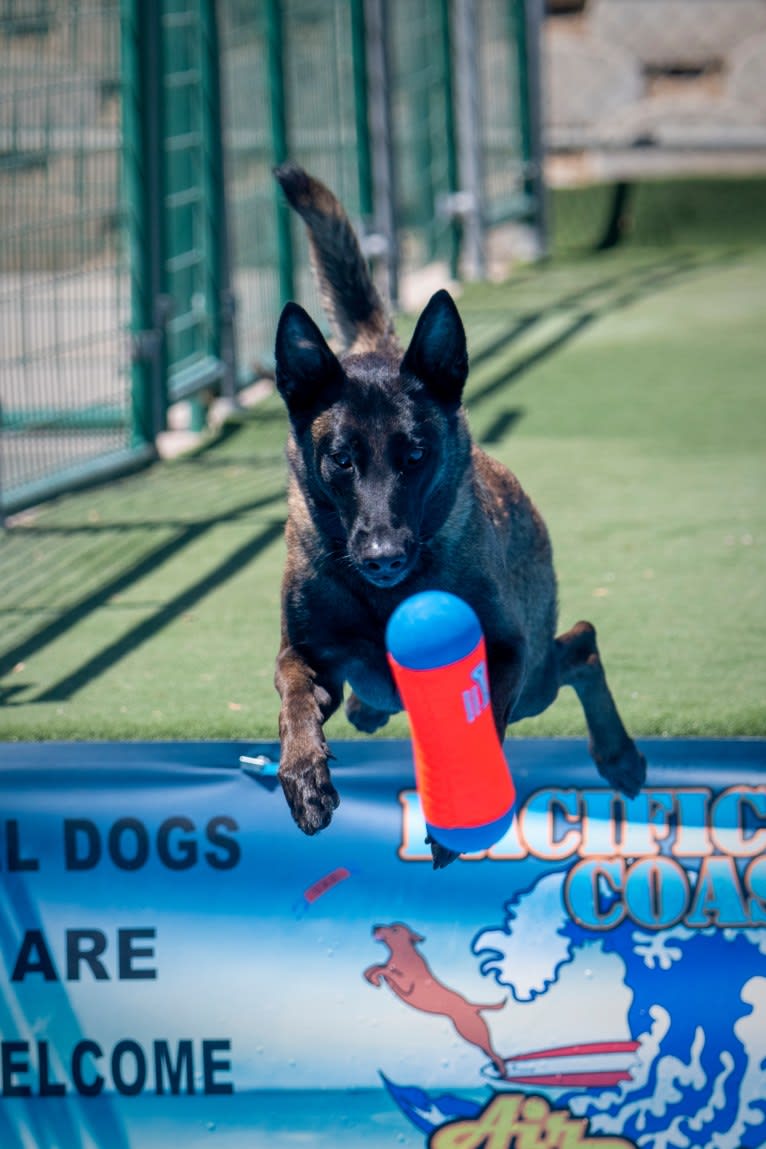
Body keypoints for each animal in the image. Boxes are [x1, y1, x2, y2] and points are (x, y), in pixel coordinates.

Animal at [272, 159, 643, 864]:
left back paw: (618, 755)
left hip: (538, 681)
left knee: (581, 646)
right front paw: (304, 774)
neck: (383, 599)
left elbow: (481, 726)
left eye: (415, 454)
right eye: (341, 460)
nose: (382, 556)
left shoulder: (506, 654)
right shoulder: (308, 656)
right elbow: (296, 697)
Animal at [362, 923, 505, 1075]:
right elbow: (377, 967)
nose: (375, 927)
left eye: (395, 929)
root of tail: (471, 1006)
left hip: (471, 1031)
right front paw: (370, 976)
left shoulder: (406, 985)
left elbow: (387, 971)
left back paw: (502, 1070)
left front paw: (375, 977)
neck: (403, 954)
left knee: (492, 1051)